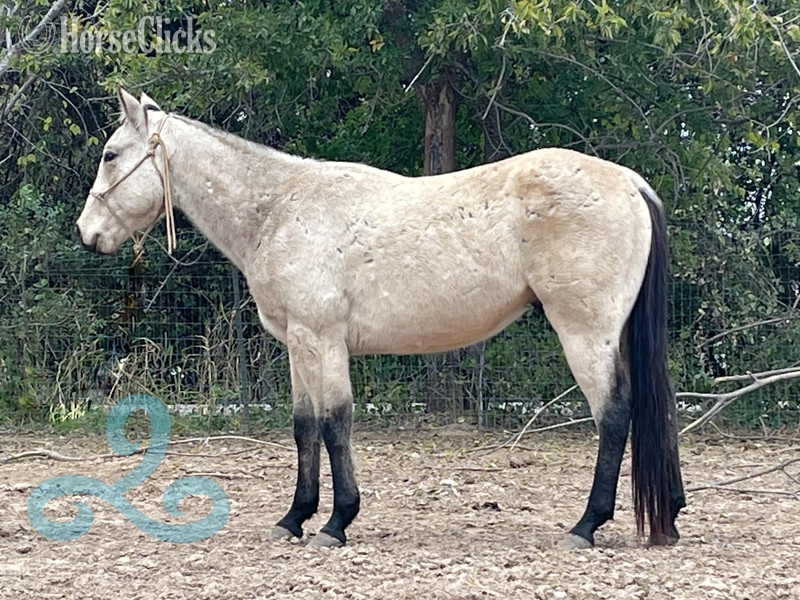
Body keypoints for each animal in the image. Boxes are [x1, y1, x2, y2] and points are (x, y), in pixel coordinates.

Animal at [76, 88, 686, 549]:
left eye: (110, 155)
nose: (87, 233)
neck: (278, 207)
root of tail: (631, 182)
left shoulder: (321, 340)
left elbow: (334, 424)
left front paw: (336, 522)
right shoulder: (298, 344)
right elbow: (303, 427)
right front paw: (293, 519)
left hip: (585, 334)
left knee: (614, 415)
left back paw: (585, 526)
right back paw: (670, 516)